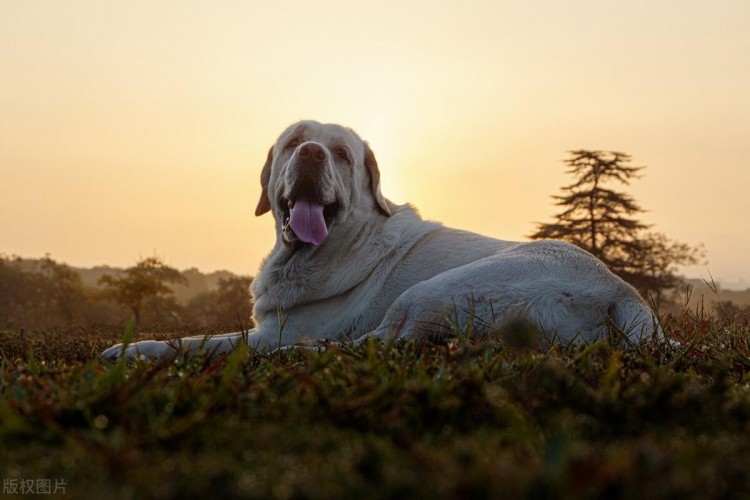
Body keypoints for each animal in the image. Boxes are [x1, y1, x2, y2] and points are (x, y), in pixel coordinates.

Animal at [104, 121, 656, 364]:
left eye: (342, 154)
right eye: (293, 141)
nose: (310, 153)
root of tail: (623, 292)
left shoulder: (270, 332)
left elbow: (202, 340)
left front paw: (133, 349)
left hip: (434, 289)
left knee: (375, 342)